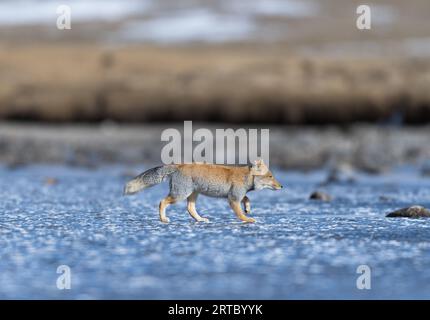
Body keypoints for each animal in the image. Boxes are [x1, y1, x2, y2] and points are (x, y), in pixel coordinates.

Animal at [123, 159, 282, 224]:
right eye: (270, 177)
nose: (281, 186)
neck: (245, 176)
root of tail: (180, 165)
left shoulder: (235, 195)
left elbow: (247, 198)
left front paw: (248, 208)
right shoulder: (232, 199)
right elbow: (239, 214)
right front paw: (247, 219)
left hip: (192, 195)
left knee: (190, 208)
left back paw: (199, 220)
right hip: (180, 195)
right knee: (162, 202)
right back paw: (163, 219)